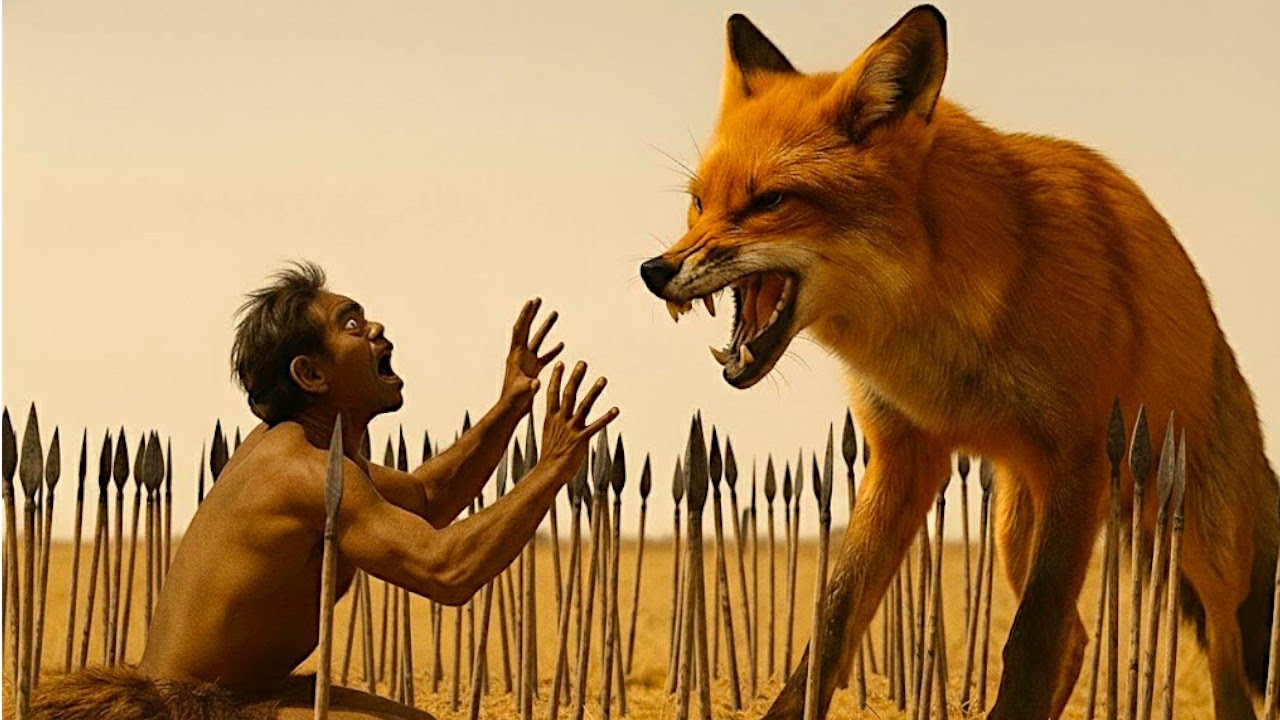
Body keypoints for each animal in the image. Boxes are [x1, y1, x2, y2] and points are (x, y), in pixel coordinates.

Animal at [639, 6, 1277, 720]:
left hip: (1199, 537)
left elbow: (1029, 637)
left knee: (1221, 646)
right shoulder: (905, 455)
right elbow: (833, 618)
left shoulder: (1080, 453)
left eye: (769, 201)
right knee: (1080, 639)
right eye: (699, 203)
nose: (654, 271)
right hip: (1017, 529)